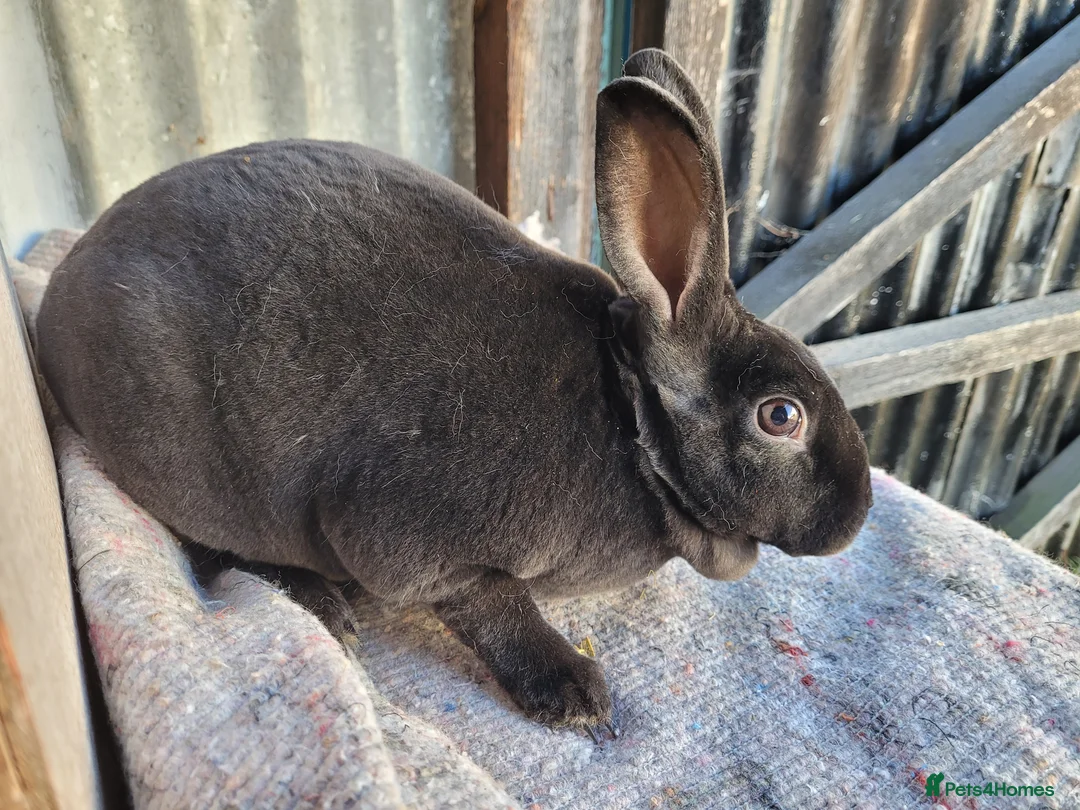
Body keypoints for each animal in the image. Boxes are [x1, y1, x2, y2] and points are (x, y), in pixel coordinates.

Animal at [35, 49, 872, 734]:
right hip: (185, 463)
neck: (634, 426)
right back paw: (322, 605)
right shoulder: (416, 543)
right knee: (206, 542)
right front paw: (575, 694)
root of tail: (57, 301)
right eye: (781, 416)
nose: (856, 516)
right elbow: (493, 605)